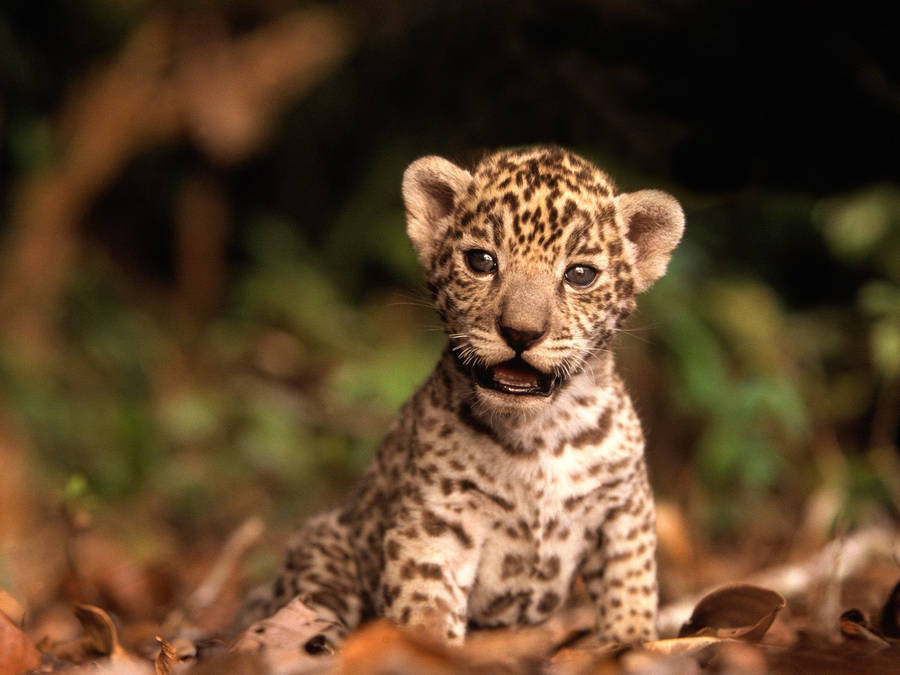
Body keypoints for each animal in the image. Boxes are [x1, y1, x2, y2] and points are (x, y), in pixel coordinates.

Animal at [242, 146, 685, 652]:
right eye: (481, 261)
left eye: (580, 275)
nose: (520, 332)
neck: (539, 432)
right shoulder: (438, 520)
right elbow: (426, 602)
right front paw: (430, 653)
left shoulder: (623, 507)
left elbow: (629, 581)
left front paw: (630, 643)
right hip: (321, 555)